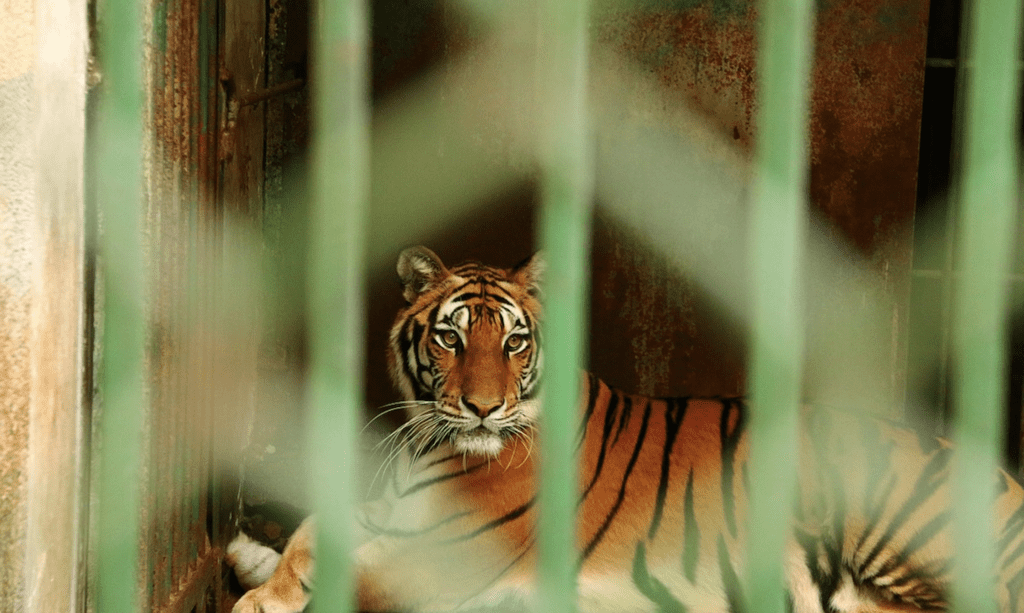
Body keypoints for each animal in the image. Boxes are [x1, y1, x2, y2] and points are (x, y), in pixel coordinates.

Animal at [230, 245, 1024, 613]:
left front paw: (254, 596)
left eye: (513, 342)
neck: (434, 443)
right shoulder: (393, 513)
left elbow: (346, 568)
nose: (483, 408)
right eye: (451, 339)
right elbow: (309, 534)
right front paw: (257, 564)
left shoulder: (440, 552)